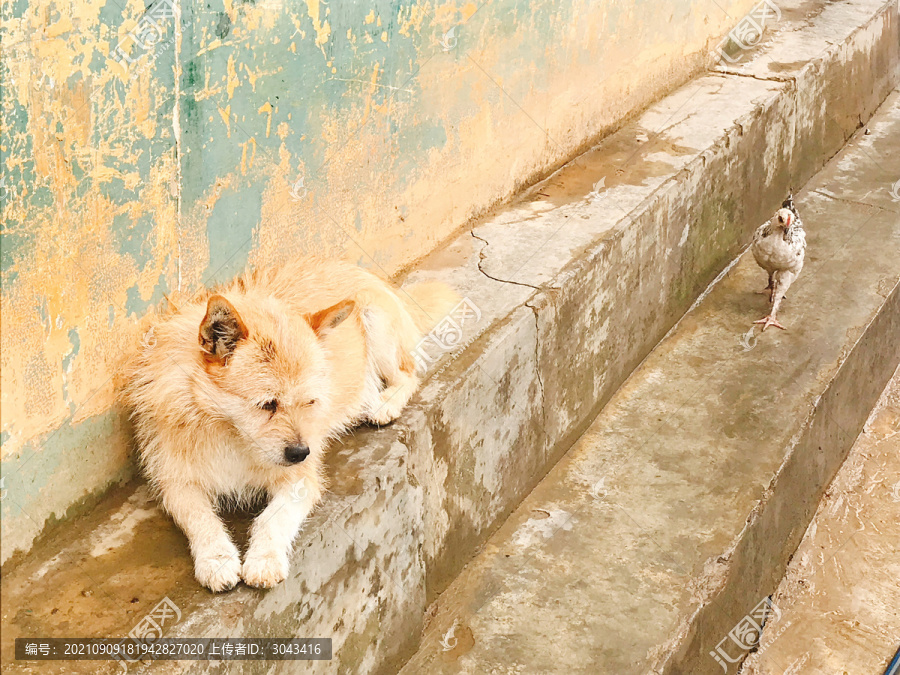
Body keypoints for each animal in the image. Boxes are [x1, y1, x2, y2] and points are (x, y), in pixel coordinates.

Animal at [123, 260, 454, 592]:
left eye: (310, 402)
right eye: (268, 404)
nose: (300, 453)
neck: (228, 433)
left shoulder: (300, 480)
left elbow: (272, 520)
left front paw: (264, 559)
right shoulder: (177, 483)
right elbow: (200, 519)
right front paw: (216, 559)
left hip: (377, 324)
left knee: (408, 374)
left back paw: (384, 403)